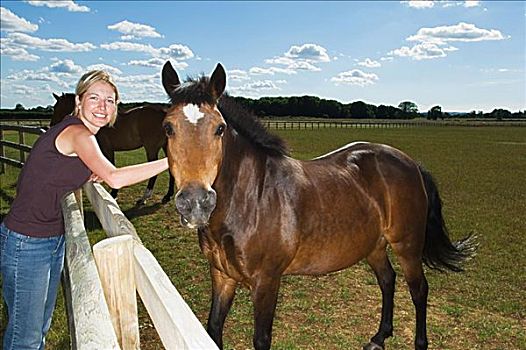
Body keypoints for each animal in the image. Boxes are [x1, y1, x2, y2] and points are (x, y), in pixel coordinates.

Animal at [161, 62, 478, 350]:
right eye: (167, 128)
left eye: (220, 129)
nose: (195, 203)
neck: (251, 200)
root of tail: (411, 163)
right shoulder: (222, 276)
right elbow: (213, 328)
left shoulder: (266, 282)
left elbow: (261, 339)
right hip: (374, 245)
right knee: (388, 280)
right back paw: (379, 337)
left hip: (407, 245)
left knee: (418, 290)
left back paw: (419, 342)